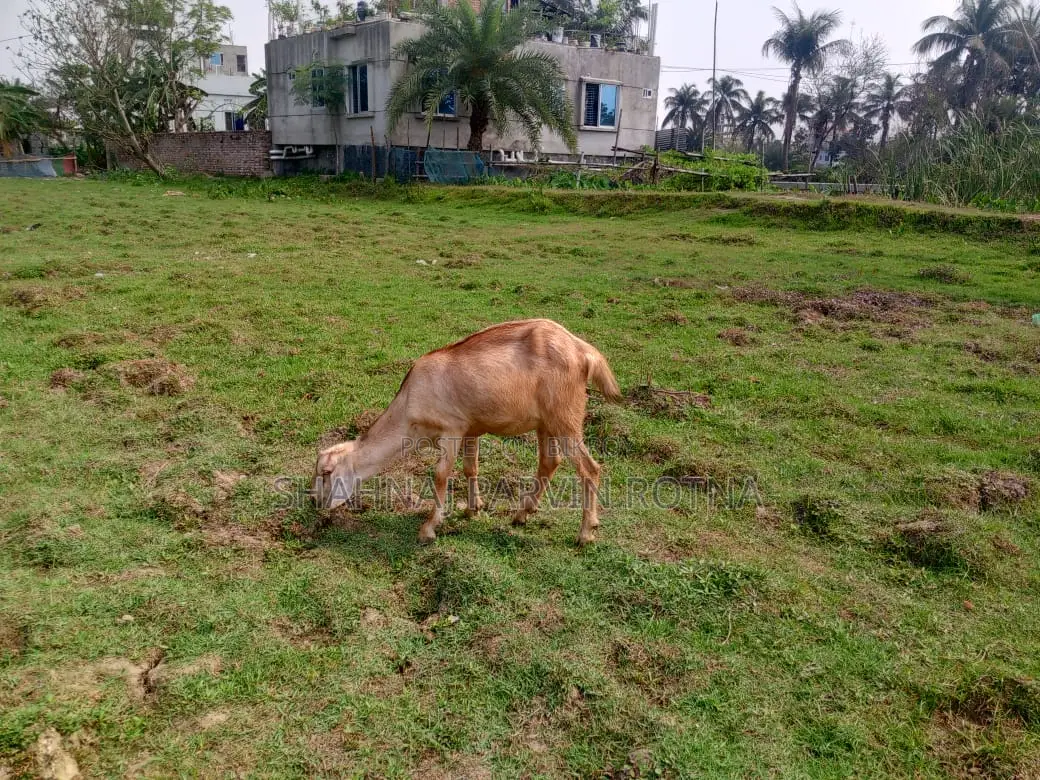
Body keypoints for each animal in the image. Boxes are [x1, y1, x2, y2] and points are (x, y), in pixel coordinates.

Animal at [313, 319, 622, 545]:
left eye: (327, 472)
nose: (316, 502)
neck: (410, 404)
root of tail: (584, 351)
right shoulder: (471, 429)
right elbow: (469, 468)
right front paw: (473, 508)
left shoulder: (452, 429)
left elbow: (440, 475)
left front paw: (428, 529)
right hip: (546, 422)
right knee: (549, 462)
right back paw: (521, 514)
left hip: (565, 416)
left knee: (589, 468)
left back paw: (585, 533)